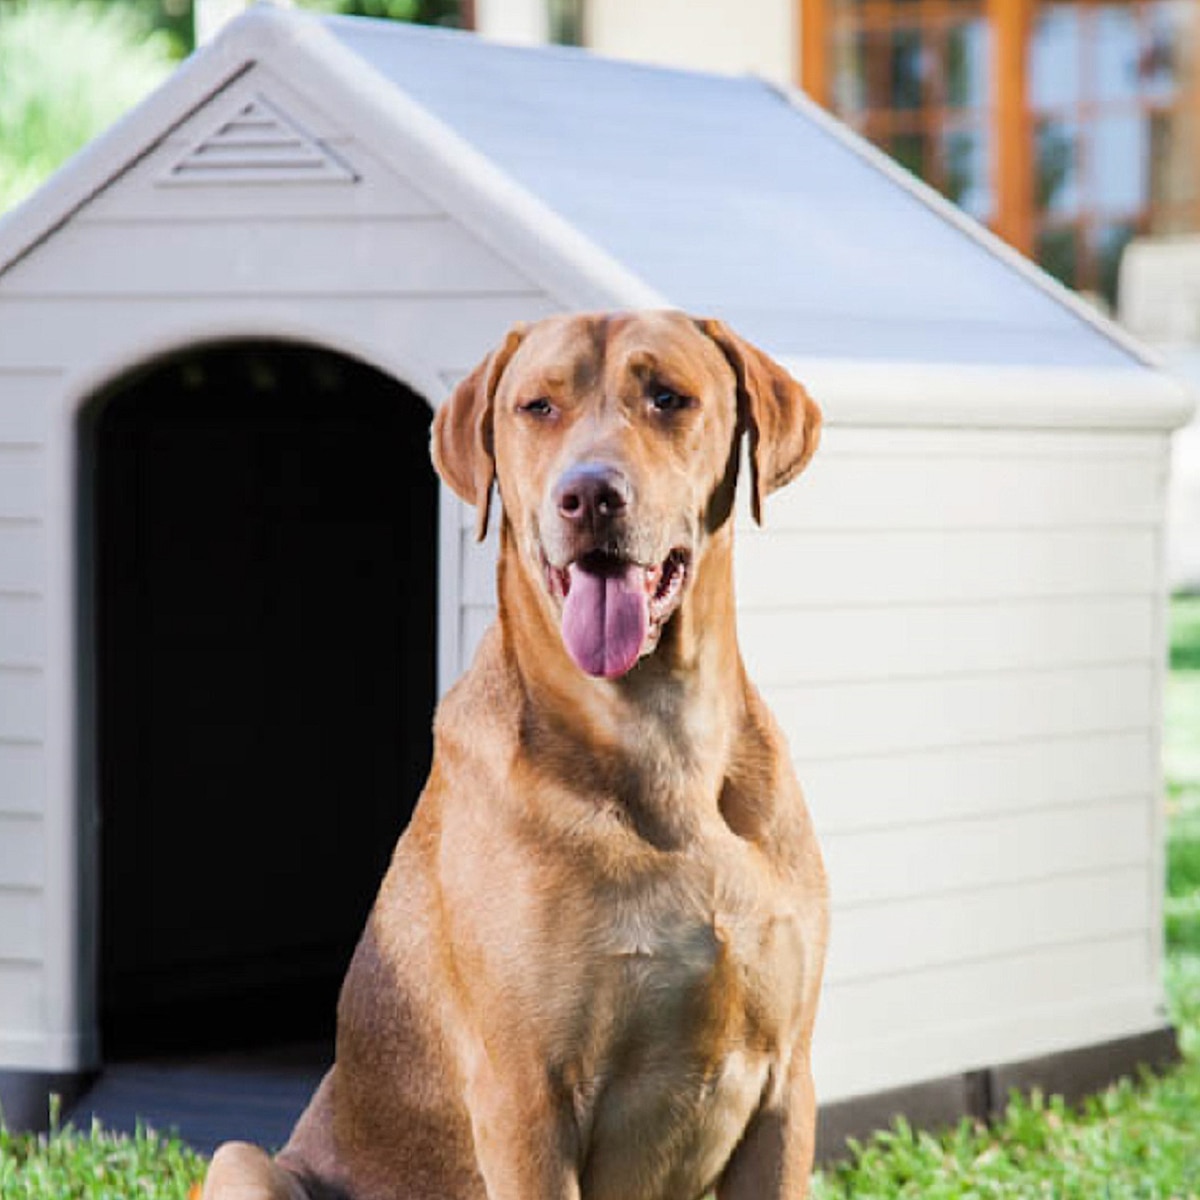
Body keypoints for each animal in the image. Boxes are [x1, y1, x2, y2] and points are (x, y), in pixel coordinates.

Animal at [201, 312, 830, 1200]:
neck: (661, 737)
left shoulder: (785, 1087)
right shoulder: (526, 1100)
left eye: (669, 397)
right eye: (538, 407)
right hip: (245, 1163)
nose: (589, 494)